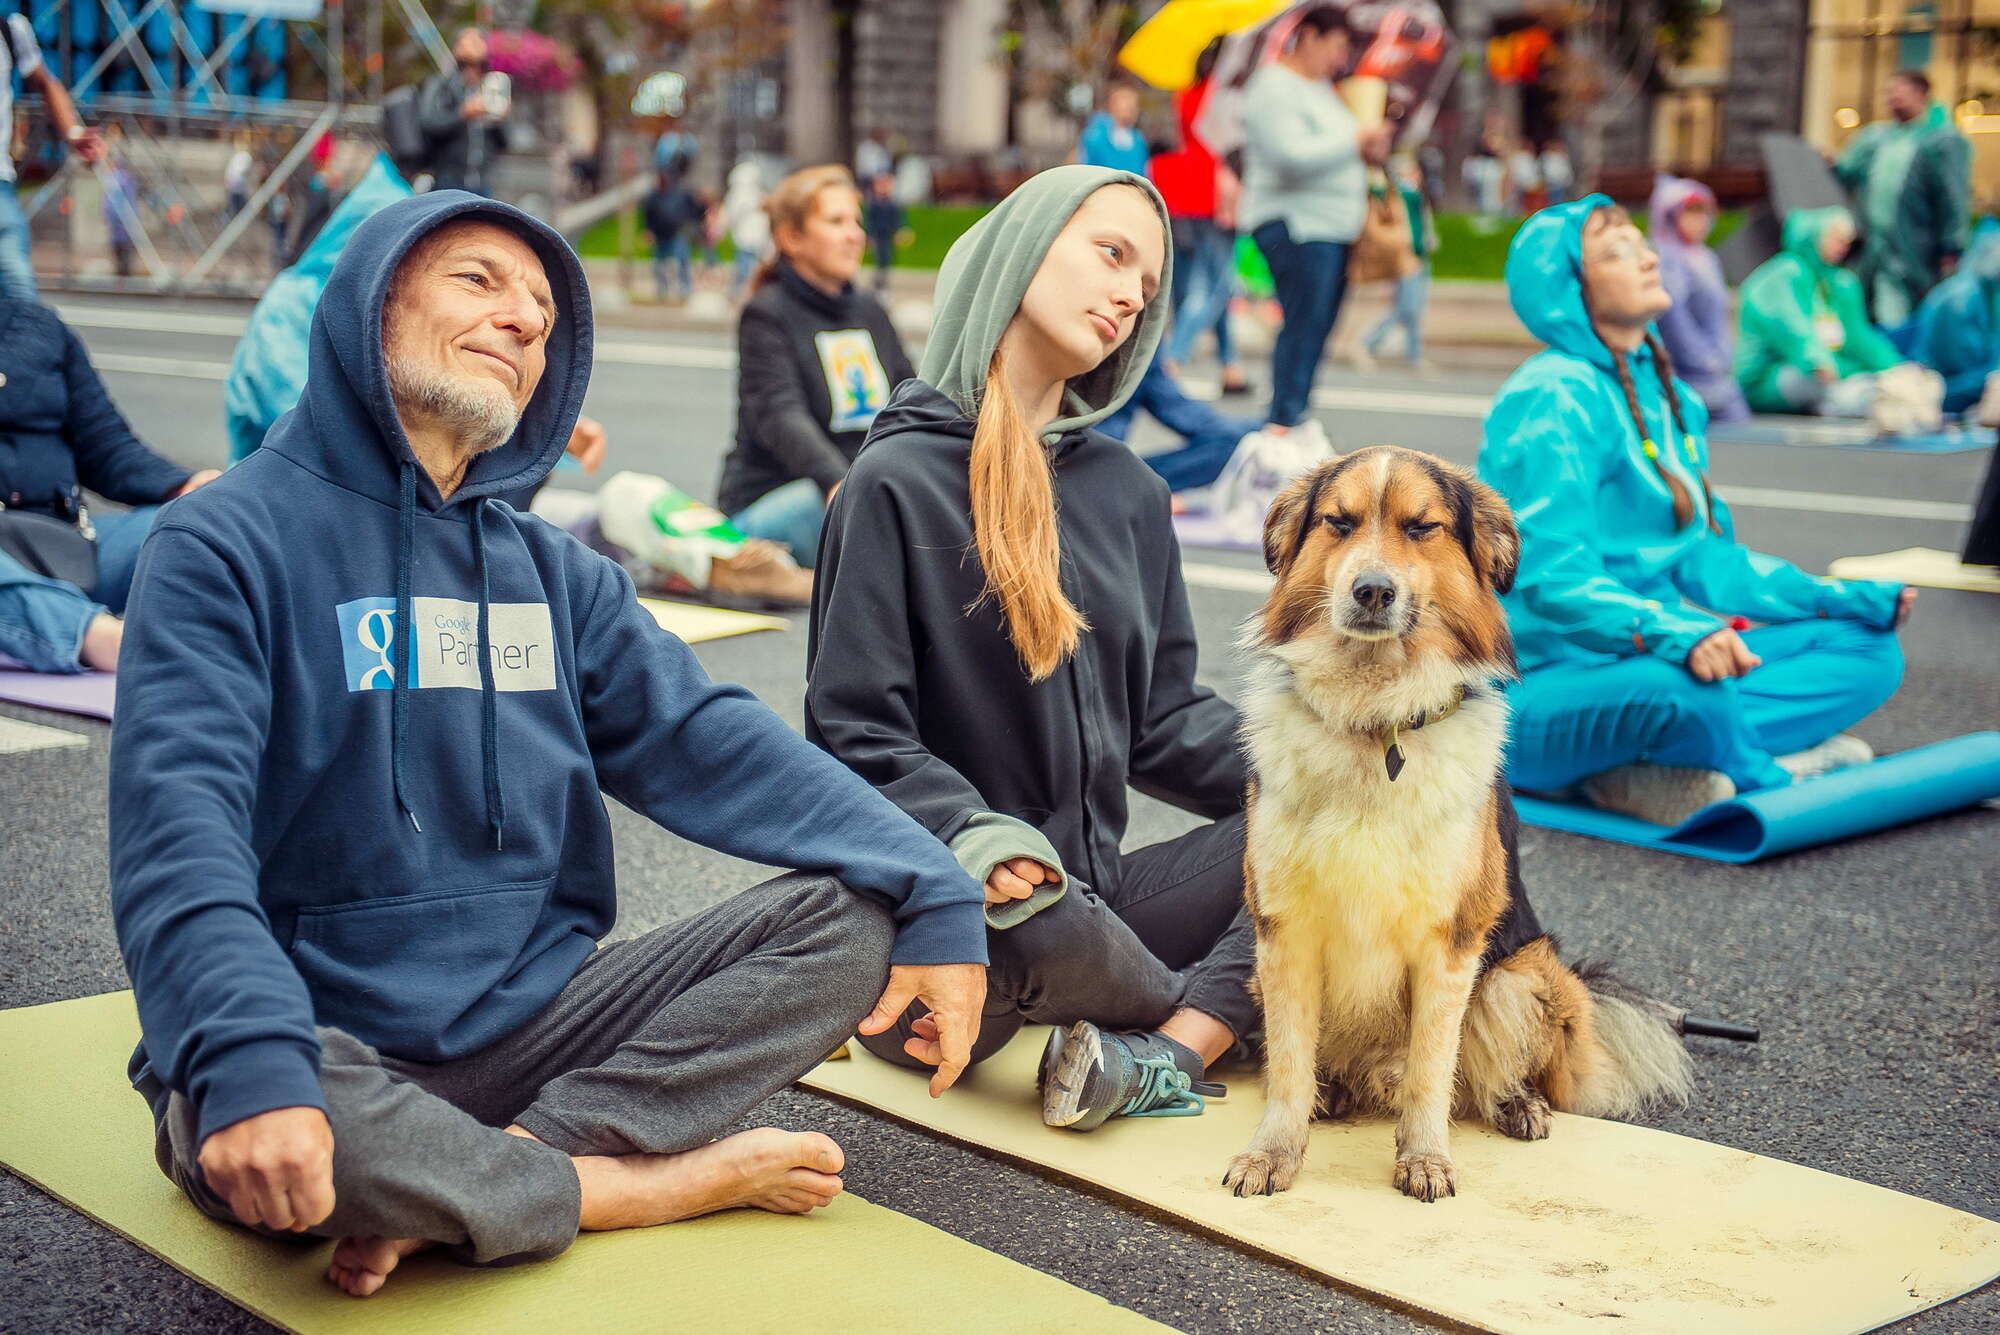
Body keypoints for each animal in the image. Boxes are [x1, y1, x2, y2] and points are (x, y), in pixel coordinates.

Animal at [1224, 445, 1696, 1199]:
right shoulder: (1283, 933)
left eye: (1422, 527)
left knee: (1476, 1075)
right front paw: (1274, 1152)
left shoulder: (1450, 941)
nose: (1373, 592)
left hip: (1520, 976)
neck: (1375, 720)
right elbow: (1289, 1068)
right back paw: (1334, 1091)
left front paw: (1423, 1158)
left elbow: (1430, 1070)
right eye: (1339, 522)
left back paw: (1517, 1104)